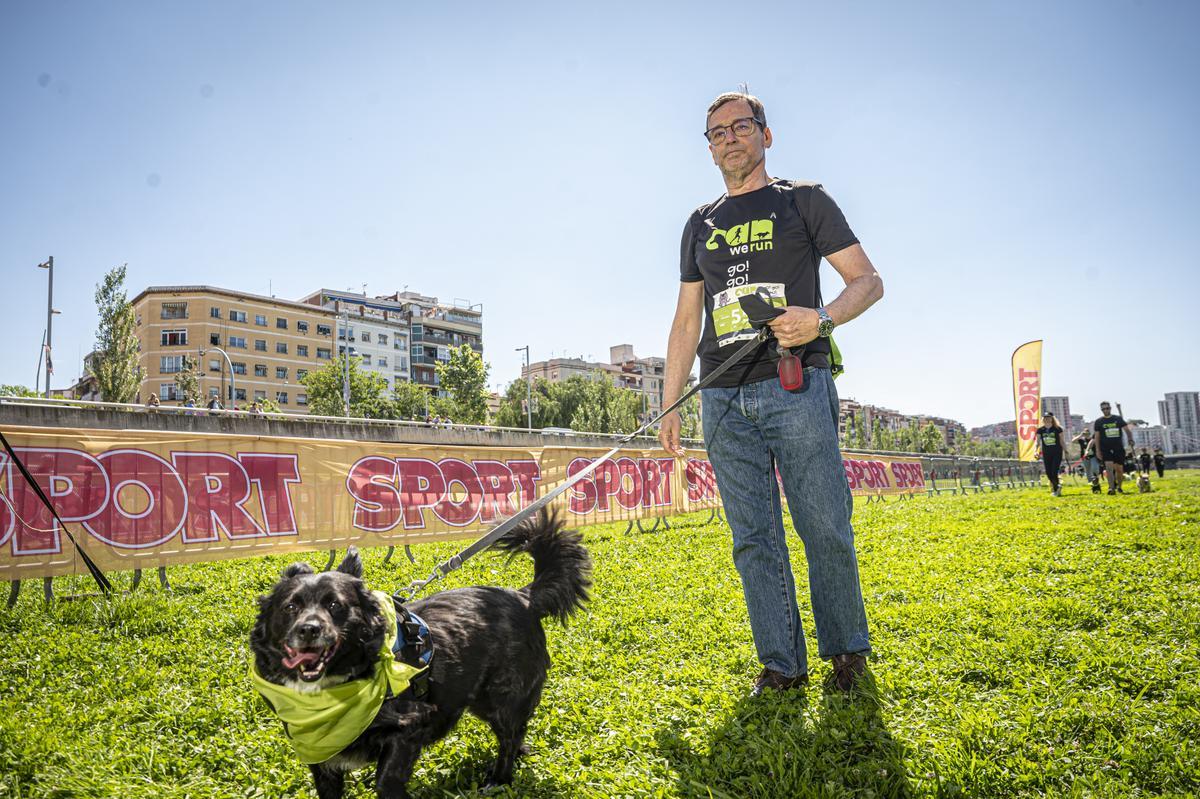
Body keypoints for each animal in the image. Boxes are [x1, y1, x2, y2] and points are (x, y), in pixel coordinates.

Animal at [252, 506, 590, 791]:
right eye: (290, 607)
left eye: (336, 605)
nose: (309, 630)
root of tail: (523, 596)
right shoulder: (322, 756)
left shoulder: (410, 728)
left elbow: (387, 780)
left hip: (503, 697)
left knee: (509, 736)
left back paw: (499, 779)